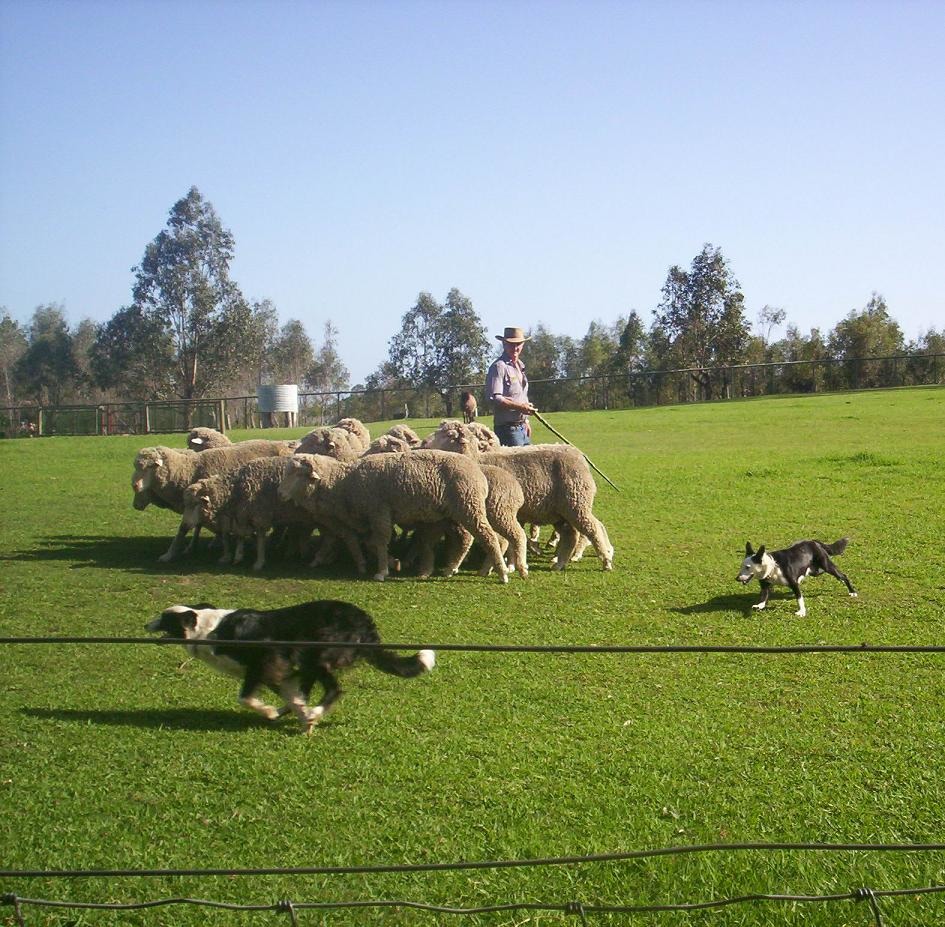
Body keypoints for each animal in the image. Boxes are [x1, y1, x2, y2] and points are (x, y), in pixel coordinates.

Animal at [147, 600, 436, 736]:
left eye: (163, 618)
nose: (145, 624)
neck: (210, 629)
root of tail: (365, 622)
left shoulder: (265, 661)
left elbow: (245, 697)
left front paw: (269, 711)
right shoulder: (277, 672)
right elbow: (293, 697)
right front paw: (298, 716)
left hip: (317, 654)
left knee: (334, 689)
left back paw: (315, 711)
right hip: (308, 662)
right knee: (308, 691)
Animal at [278, 450, 508, 580]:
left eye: (296, 473)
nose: (280, 494)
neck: (343, 483)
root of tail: (479, 473)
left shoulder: (379, 511)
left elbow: (380, 541)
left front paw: (381, 572)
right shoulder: (371, 517)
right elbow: (371, 543)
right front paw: (392, 563)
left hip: (468, 506)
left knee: (487, 536)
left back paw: (502, 573)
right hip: (455, 513)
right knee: (470, 538)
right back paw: (453, 568)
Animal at [732, 536, 860, 616]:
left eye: (747, 567)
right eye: (741, 566)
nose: (737, 578)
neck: (773, 567)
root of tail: (814, 542)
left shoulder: (794, 584)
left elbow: (799, 599)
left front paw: (802, 612)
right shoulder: (765, 585)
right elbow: (763, 597)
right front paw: (759, 606)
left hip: (826, 566)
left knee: (843, 575)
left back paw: (852, 591)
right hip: (815, 571)